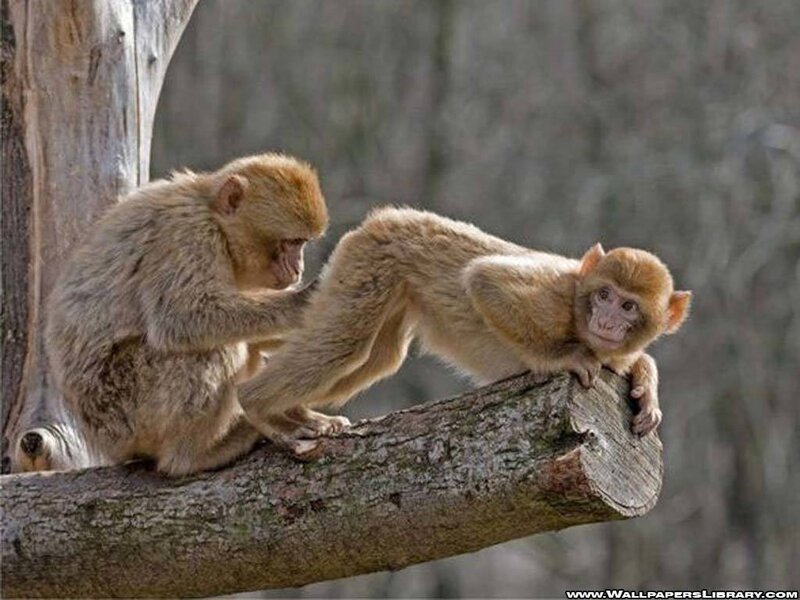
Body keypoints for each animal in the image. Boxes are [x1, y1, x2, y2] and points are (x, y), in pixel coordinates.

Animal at [45, 153, 331, 476]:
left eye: (302, 244)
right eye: (291, 242)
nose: (298, 269)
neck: (213, 216)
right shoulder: (186, 233)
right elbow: (181, 319)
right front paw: (302, 302)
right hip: (123, 408)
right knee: (213, 349)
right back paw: (194, 455)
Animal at [237, 207, 692, 456]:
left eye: (629, 306)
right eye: (605, 295)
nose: (607, 322)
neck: (580, 312)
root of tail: (385, 217)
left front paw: (646, 385)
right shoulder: (555, 294)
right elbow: (484, 280)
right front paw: (562, 359)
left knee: (377, 357)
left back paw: (291, 412)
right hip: (370, 262)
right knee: (344, 343)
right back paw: (256, 403)